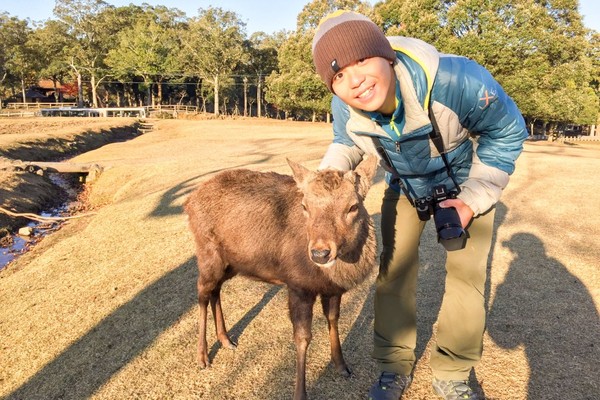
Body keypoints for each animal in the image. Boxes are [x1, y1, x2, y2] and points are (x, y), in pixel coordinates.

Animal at [184, 157, 380, 400]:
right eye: (305, 206)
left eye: (353, 206)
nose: (320, 253)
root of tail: (188, 202)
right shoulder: (297, 284)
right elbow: (303, 337)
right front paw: (300, 392)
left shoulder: (333, 289)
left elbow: (333, 319)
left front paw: (341, 365)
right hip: (207, 253)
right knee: (202, 292)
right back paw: (202, 356)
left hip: (231, 264)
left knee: (215, 291)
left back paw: (226, 339)